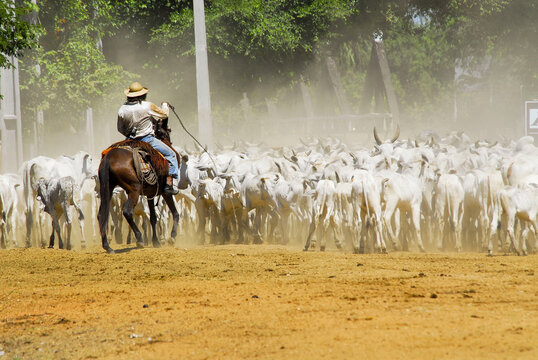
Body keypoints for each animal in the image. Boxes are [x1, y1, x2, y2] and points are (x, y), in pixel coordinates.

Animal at [96, 119, 180, 253]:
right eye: (164, 132)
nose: (169, 142)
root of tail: (108, 157)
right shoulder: (165, 192)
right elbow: (175, 213)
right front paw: (172, 237)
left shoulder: (150, 194)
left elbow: (153, 218)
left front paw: (156, 242)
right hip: (134, 189)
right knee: (127, 212)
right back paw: (139, 239)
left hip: (107, 189)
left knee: (101, 215)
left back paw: (107, 246)